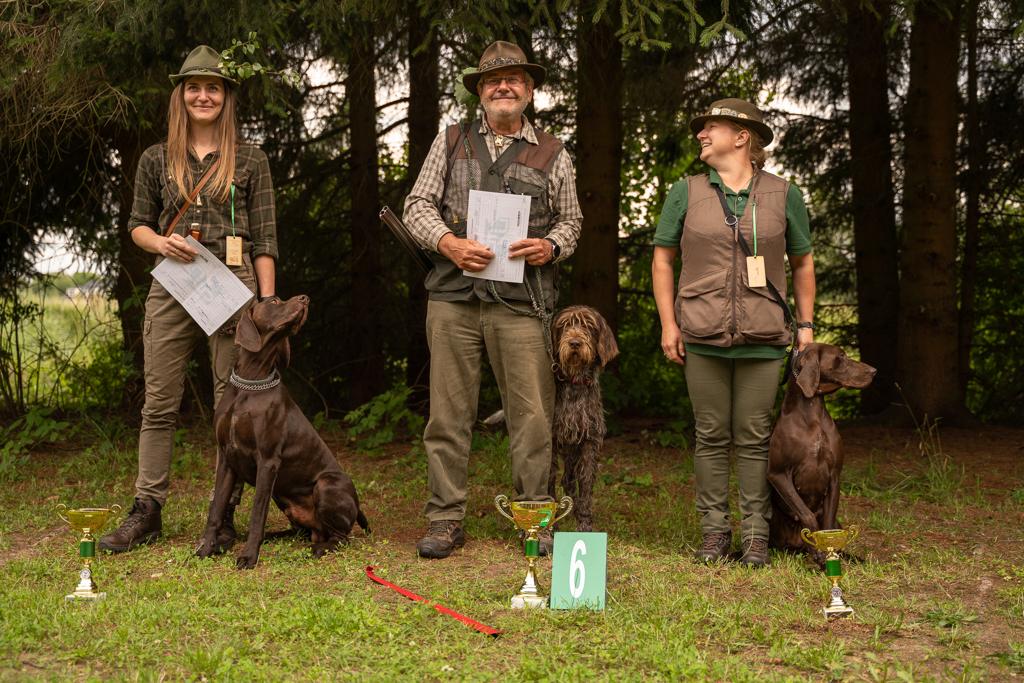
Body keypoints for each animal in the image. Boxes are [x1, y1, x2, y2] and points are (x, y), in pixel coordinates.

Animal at [548, 305, 618, 532]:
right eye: (564, 325)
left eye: (588, 325)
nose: (575, 343)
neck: (575, 382)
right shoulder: (552, 438)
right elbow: (548, 478)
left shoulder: (589, 441)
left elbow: (586, 484)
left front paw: (585, 523)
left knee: (569, 480)